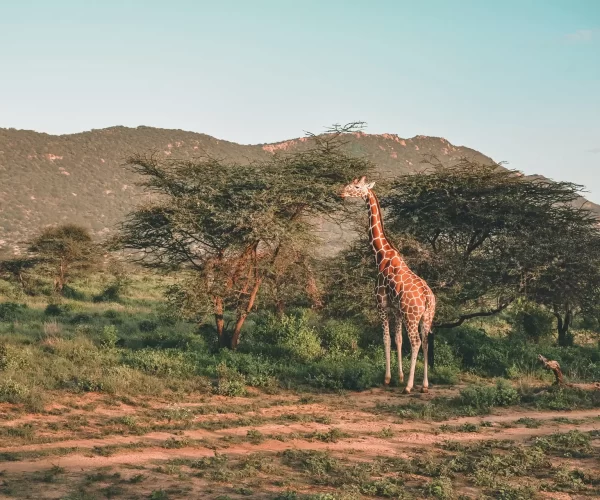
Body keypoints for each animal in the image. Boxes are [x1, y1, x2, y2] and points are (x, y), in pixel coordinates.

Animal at [342, 178, 436, 392]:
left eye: (357, 187)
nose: (342, 192)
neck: (381, 256)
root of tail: (428, 297)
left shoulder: (382, 305)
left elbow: (386, 339)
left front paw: (388, 378)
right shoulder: (396, 309)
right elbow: (398, 340)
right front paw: (399, 376)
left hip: (412, 316)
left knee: (416, 342)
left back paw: (409, 386)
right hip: (427, 317)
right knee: (426, 341)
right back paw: (424, 385)